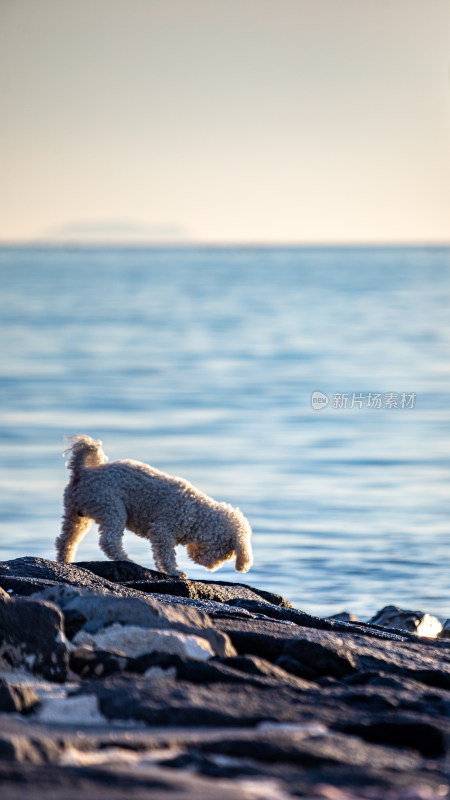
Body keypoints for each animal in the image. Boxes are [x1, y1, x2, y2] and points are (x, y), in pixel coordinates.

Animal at [55, 434, 253, 580]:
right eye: (226, 554)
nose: (212, 568)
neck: (197, 514)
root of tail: (83, 471)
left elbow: (161, 556)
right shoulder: (163, 530)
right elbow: (166, 555)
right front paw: (174, 571)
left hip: (75, 513)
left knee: (66, 540)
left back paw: (65, 560)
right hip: (111, 507)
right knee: (109, 541)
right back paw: (125, 559)